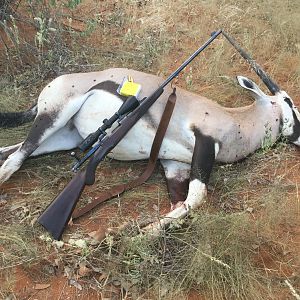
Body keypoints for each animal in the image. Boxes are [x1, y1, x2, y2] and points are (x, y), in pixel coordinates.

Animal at [0, 35, 298, 232]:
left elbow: (180, 204)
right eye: (289, 103)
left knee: (11, 151)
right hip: (53, 117)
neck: (237, 119)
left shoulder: (174, 165)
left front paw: (144, 232)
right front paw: (141, 234)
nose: (299, 136)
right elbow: (196, 199)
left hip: (66, 137)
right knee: (16, 157)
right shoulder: (204, 145)